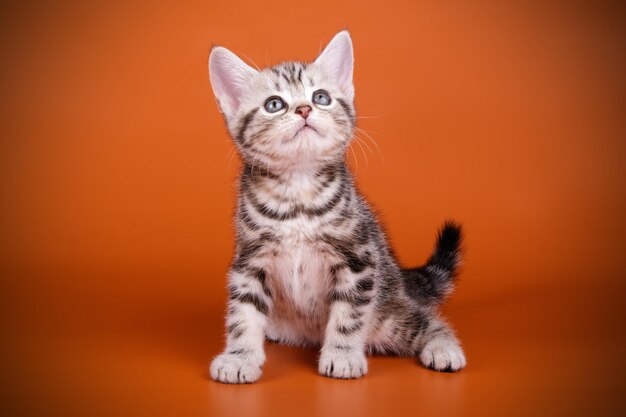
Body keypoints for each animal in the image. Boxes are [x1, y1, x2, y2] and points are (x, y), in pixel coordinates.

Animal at [206, 30, 464, 382]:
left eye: (321, 97)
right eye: (274, 104)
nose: (304, 109)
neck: (299, 190)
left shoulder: (358, 260)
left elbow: (348, 316)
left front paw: (342, 355)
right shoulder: (249, 262)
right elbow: (242, 315)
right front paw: (239, 357)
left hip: (390, 316)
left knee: (424, 320)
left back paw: (443, 347)